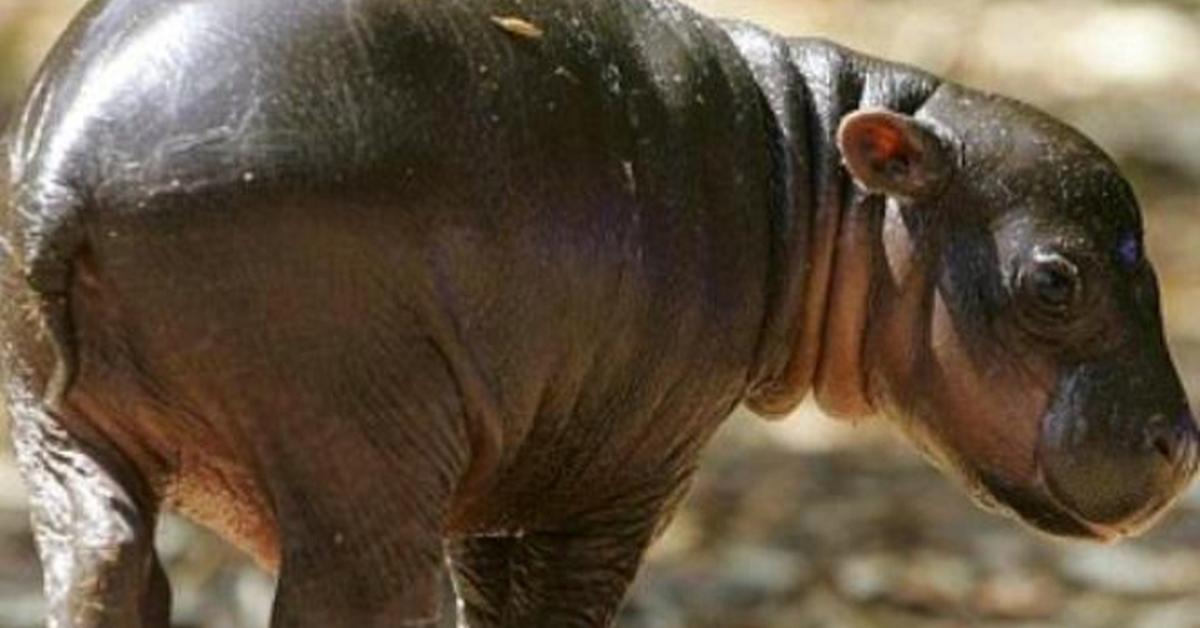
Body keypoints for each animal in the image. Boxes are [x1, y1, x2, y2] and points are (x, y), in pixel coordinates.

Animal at [0, 0, 1195, 624]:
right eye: (1056, 279)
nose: (1183, 444)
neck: (816, 168)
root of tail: (64, 167)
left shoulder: (505, 474)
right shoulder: (626, 466)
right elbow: (561, 609)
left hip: (64, 438)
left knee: (104, 566)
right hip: (351, 456)